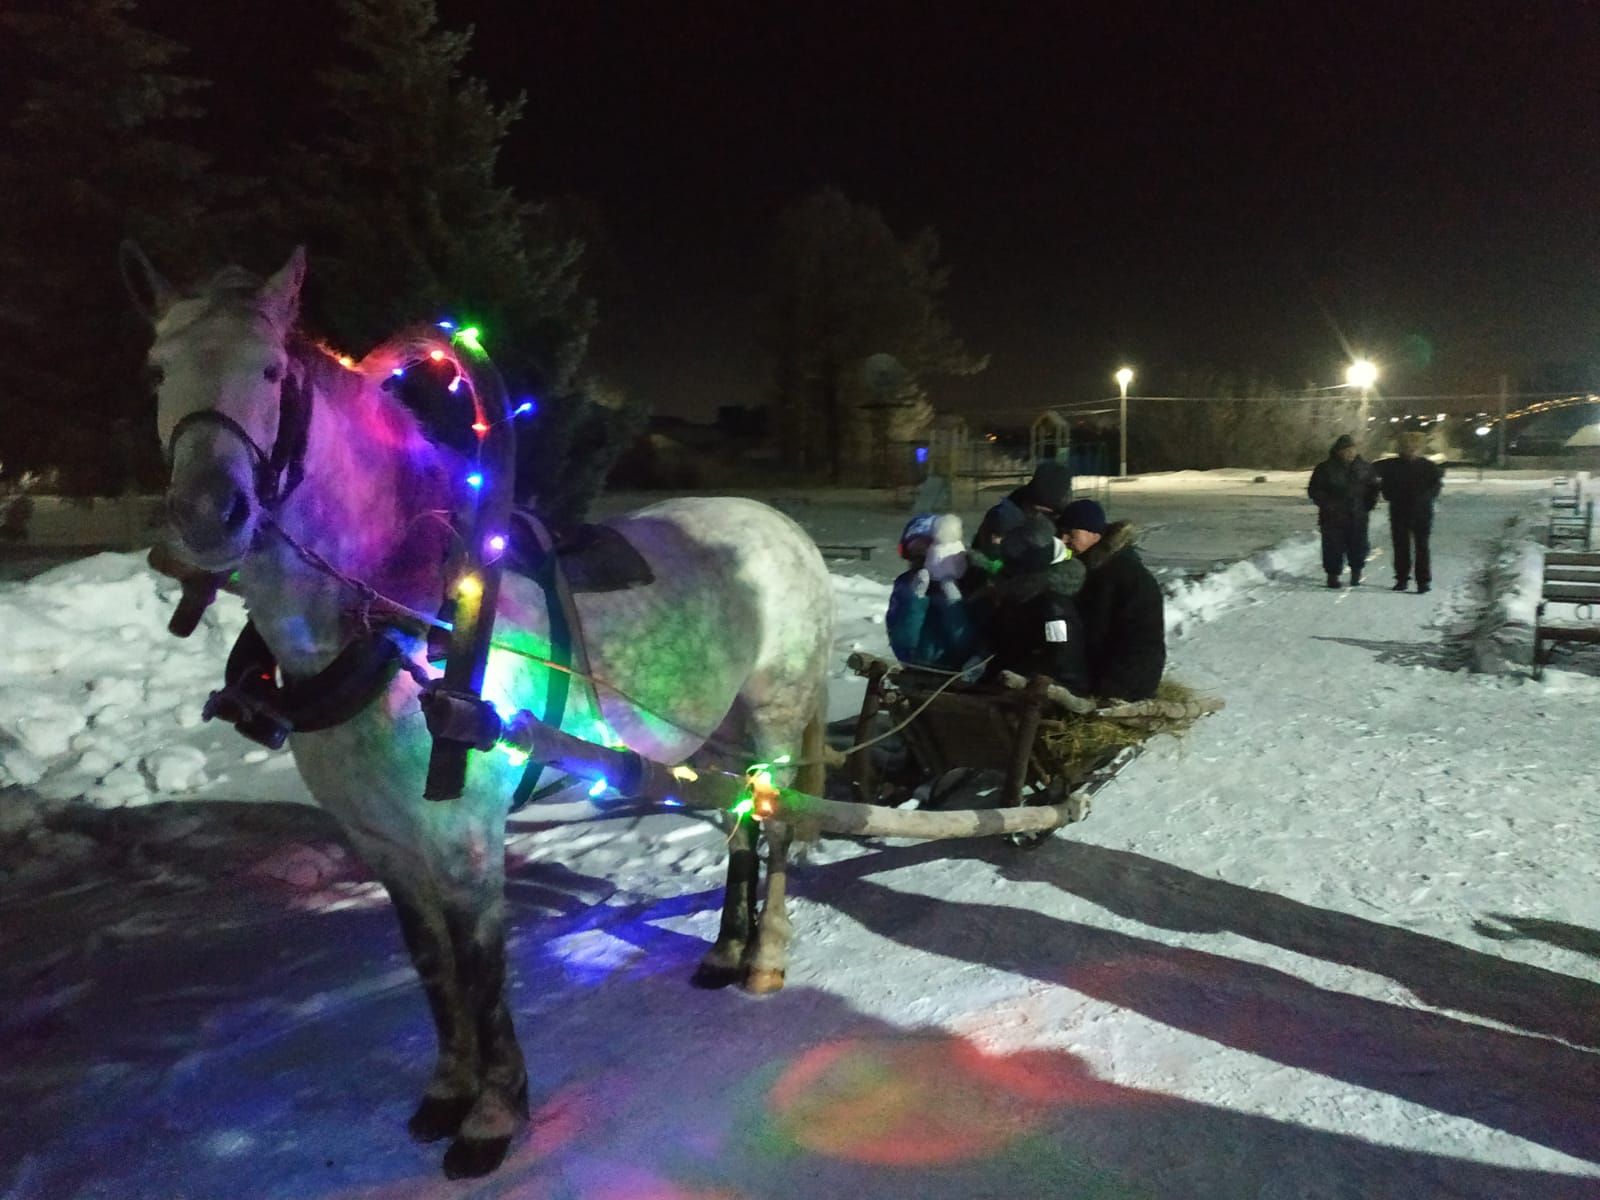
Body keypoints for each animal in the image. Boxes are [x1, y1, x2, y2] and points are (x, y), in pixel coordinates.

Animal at [121, 249, 838, 1177]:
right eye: (156, 370)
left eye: (274, 372)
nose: (208, 518)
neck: (401, 613)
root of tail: (783, 527)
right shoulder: (380, 839)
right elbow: (432, 965)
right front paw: (448, 1091)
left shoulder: (462, 833)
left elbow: (480, 965)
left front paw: (494, 1116)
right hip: (713, 734)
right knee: (741, 824)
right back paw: (722, 950)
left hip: (775, 718)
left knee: (775, 826)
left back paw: (765, 958)